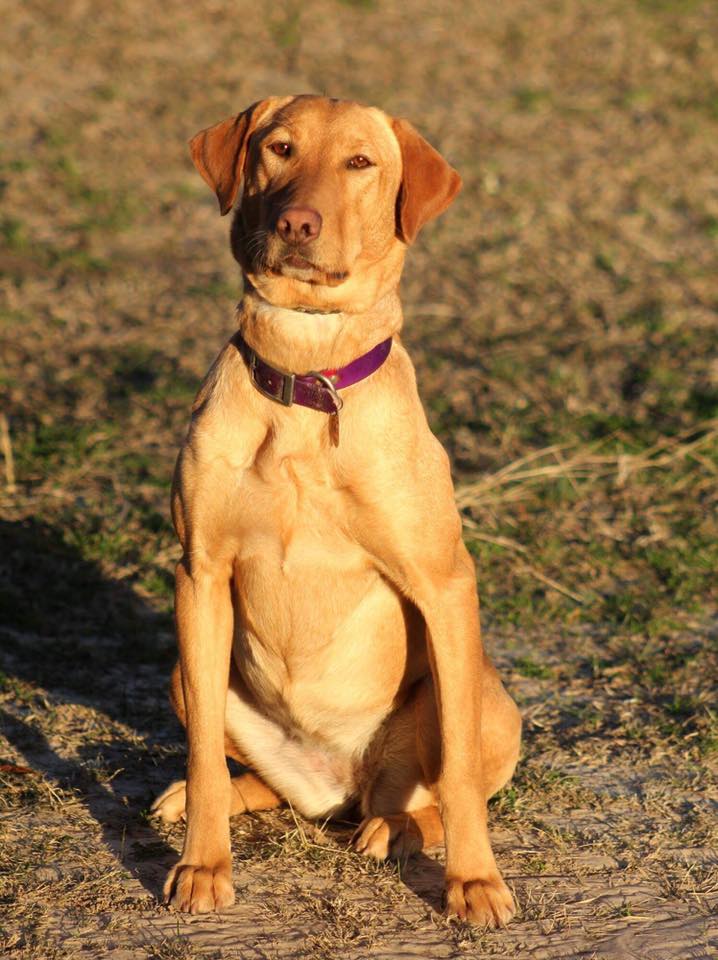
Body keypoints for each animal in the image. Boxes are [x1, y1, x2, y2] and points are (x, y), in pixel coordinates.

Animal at [153, 94, 524, 928]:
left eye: (360, 162)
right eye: (279, 149)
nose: (298, 223)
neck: (305, 367)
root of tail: (339, 786)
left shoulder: (444, 586)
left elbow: (458, 776)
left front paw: (475, 883)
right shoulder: (199, 575)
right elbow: (206, 759)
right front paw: (202, 863)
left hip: (487, 702)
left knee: (433, 790)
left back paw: (398, 830)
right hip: (187, 673)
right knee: (248, 779)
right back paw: (195, 798)